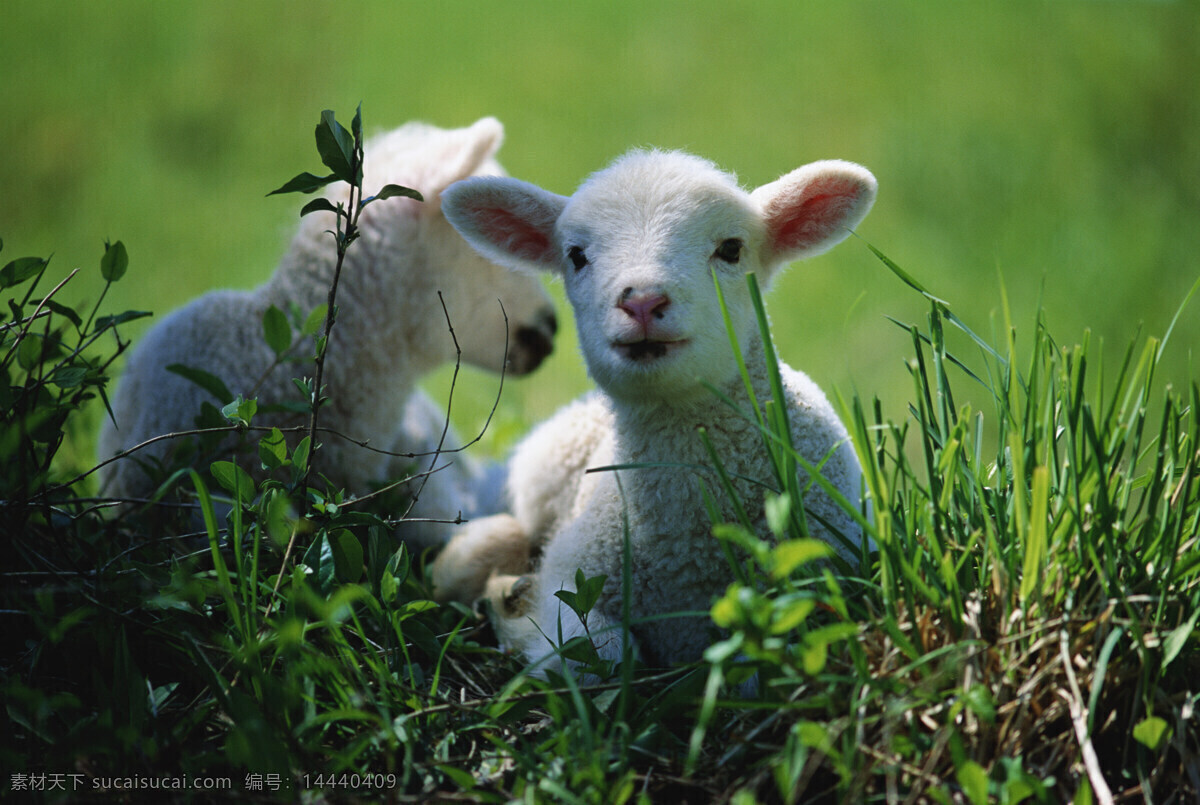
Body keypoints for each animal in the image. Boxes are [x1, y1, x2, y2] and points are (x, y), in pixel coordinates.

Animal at [436, 148, 878, 671]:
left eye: (732, 249)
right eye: (576, 255)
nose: (643, 301)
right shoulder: (572, 574)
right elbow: (601, 654)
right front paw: (519, 613)